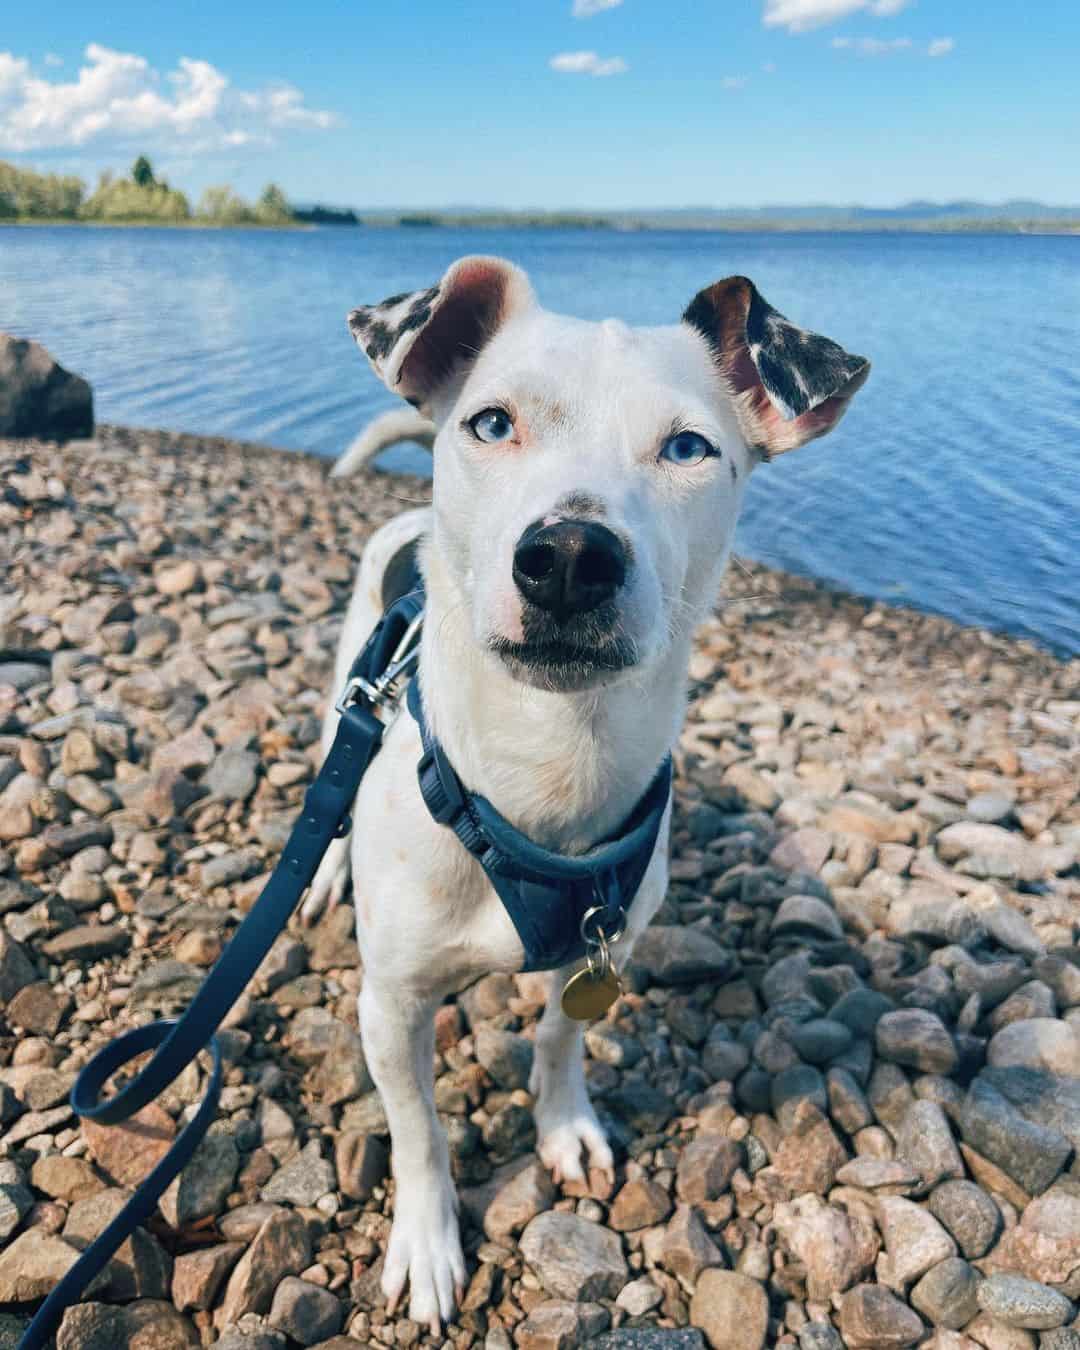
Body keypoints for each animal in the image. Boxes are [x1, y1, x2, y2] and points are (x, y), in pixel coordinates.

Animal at [301, 257, 869, 1333]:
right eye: (492, 423)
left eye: (688, 446)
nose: (569, 554)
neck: (549, 769)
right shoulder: (390, 1005)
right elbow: (418, 1128)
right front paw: (428, 1244)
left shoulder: (606, 949)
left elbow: (562, 1036)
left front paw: (564, 1128)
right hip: (345, 693)